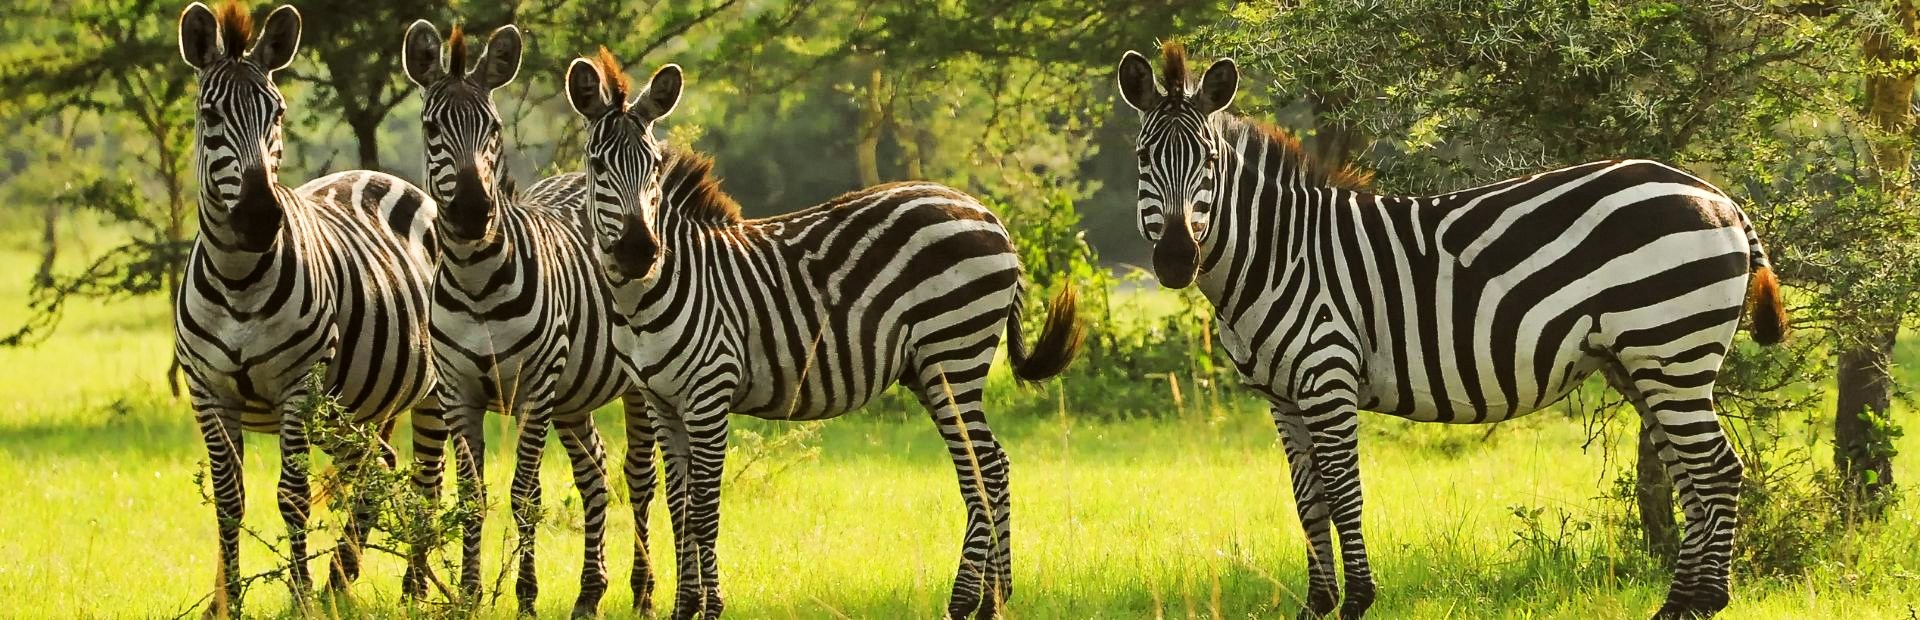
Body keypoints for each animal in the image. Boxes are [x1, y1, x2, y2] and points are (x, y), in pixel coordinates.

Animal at [174, 2, 439, 614]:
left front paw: (298, 598)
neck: (237, 279)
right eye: (209, 114)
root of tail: (378, 174)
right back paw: (341, 578)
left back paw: (411, 587)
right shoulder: (207, 391)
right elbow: (228, 500)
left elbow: (291, 495)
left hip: (431, 390)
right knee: (378, 467)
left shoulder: (299, 384)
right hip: (356, 407)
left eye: (277, 112)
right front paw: (229, 603)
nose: (259, 216)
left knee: (425, 480)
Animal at [397, 21, 656, 617]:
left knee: (642, 477)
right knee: (594, 474)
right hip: (575, 393)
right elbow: (472, 495)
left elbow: (525, 495)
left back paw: (643, 589)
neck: (476, 283)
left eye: (492, 128)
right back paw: (590, 591)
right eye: (431, 127)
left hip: (633, 386)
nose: (473, 212)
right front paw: (470, 594)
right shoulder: (458, 391)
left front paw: (527, 595)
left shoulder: (535, 386)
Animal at [564, 48, 1084, 620]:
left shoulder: (709, 394)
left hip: (954, 352)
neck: (646, 298)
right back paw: (994, 598)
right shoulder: (662, 402)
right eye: (596, 166)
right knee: (992, 464)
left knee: (984, 468)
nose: (640, 251)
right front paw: (686, 606)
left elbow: (703, 508)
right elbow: (680, 508)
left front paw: (710, 605)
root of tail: (988, 213)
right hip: (930, 369)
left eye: (654, 166)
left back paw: (969, 600)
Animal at [1116, 43, 1786, 620]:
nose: (1175, 259)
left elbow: (1344, 492)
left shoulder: (1327, 376)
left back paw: (1704, 602)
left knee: (1716, 469)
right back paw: (1678, 605)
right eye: (1144, 159)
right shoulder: (1281, 397)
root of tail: (1719, 198)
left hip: (1672, 348)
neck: (1279, 253)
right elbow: (1308, 501)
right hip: (1643, 364)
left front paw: (1356, 603)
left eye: (1208, 162)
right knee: (1689, 475)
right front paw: (1317, 605)